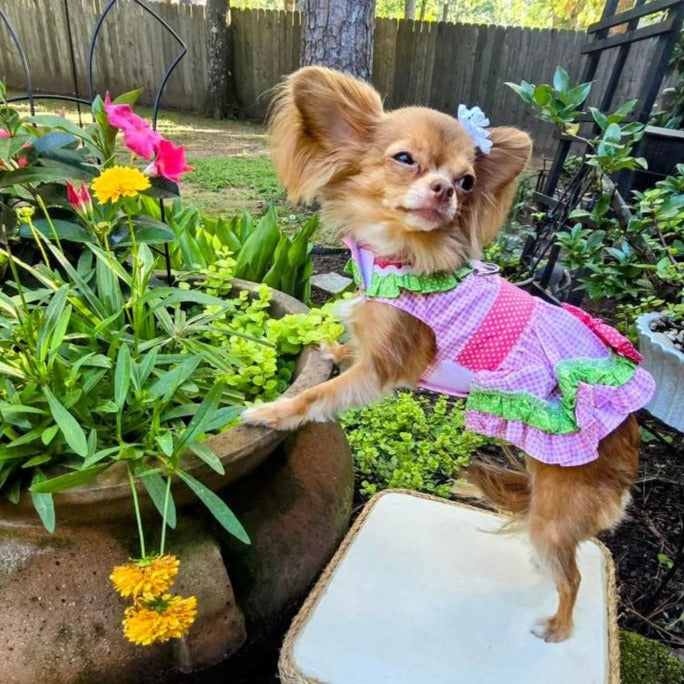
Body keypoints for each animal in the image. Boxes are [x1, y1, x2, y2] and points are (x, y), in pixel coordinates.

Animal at [243, 67, 656, 644]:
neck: (402, 257)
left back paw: (557, 628)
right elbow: (346, 347)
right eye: (404, 159)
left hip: (557, 513)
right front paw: (325, 343)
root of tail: (630, 448)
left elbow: (319, 395)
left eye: (466, 182)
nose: (444, 190)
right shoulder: (372, 348)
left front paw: (272, 412)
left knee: (573, 575)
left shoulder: (383, 370)